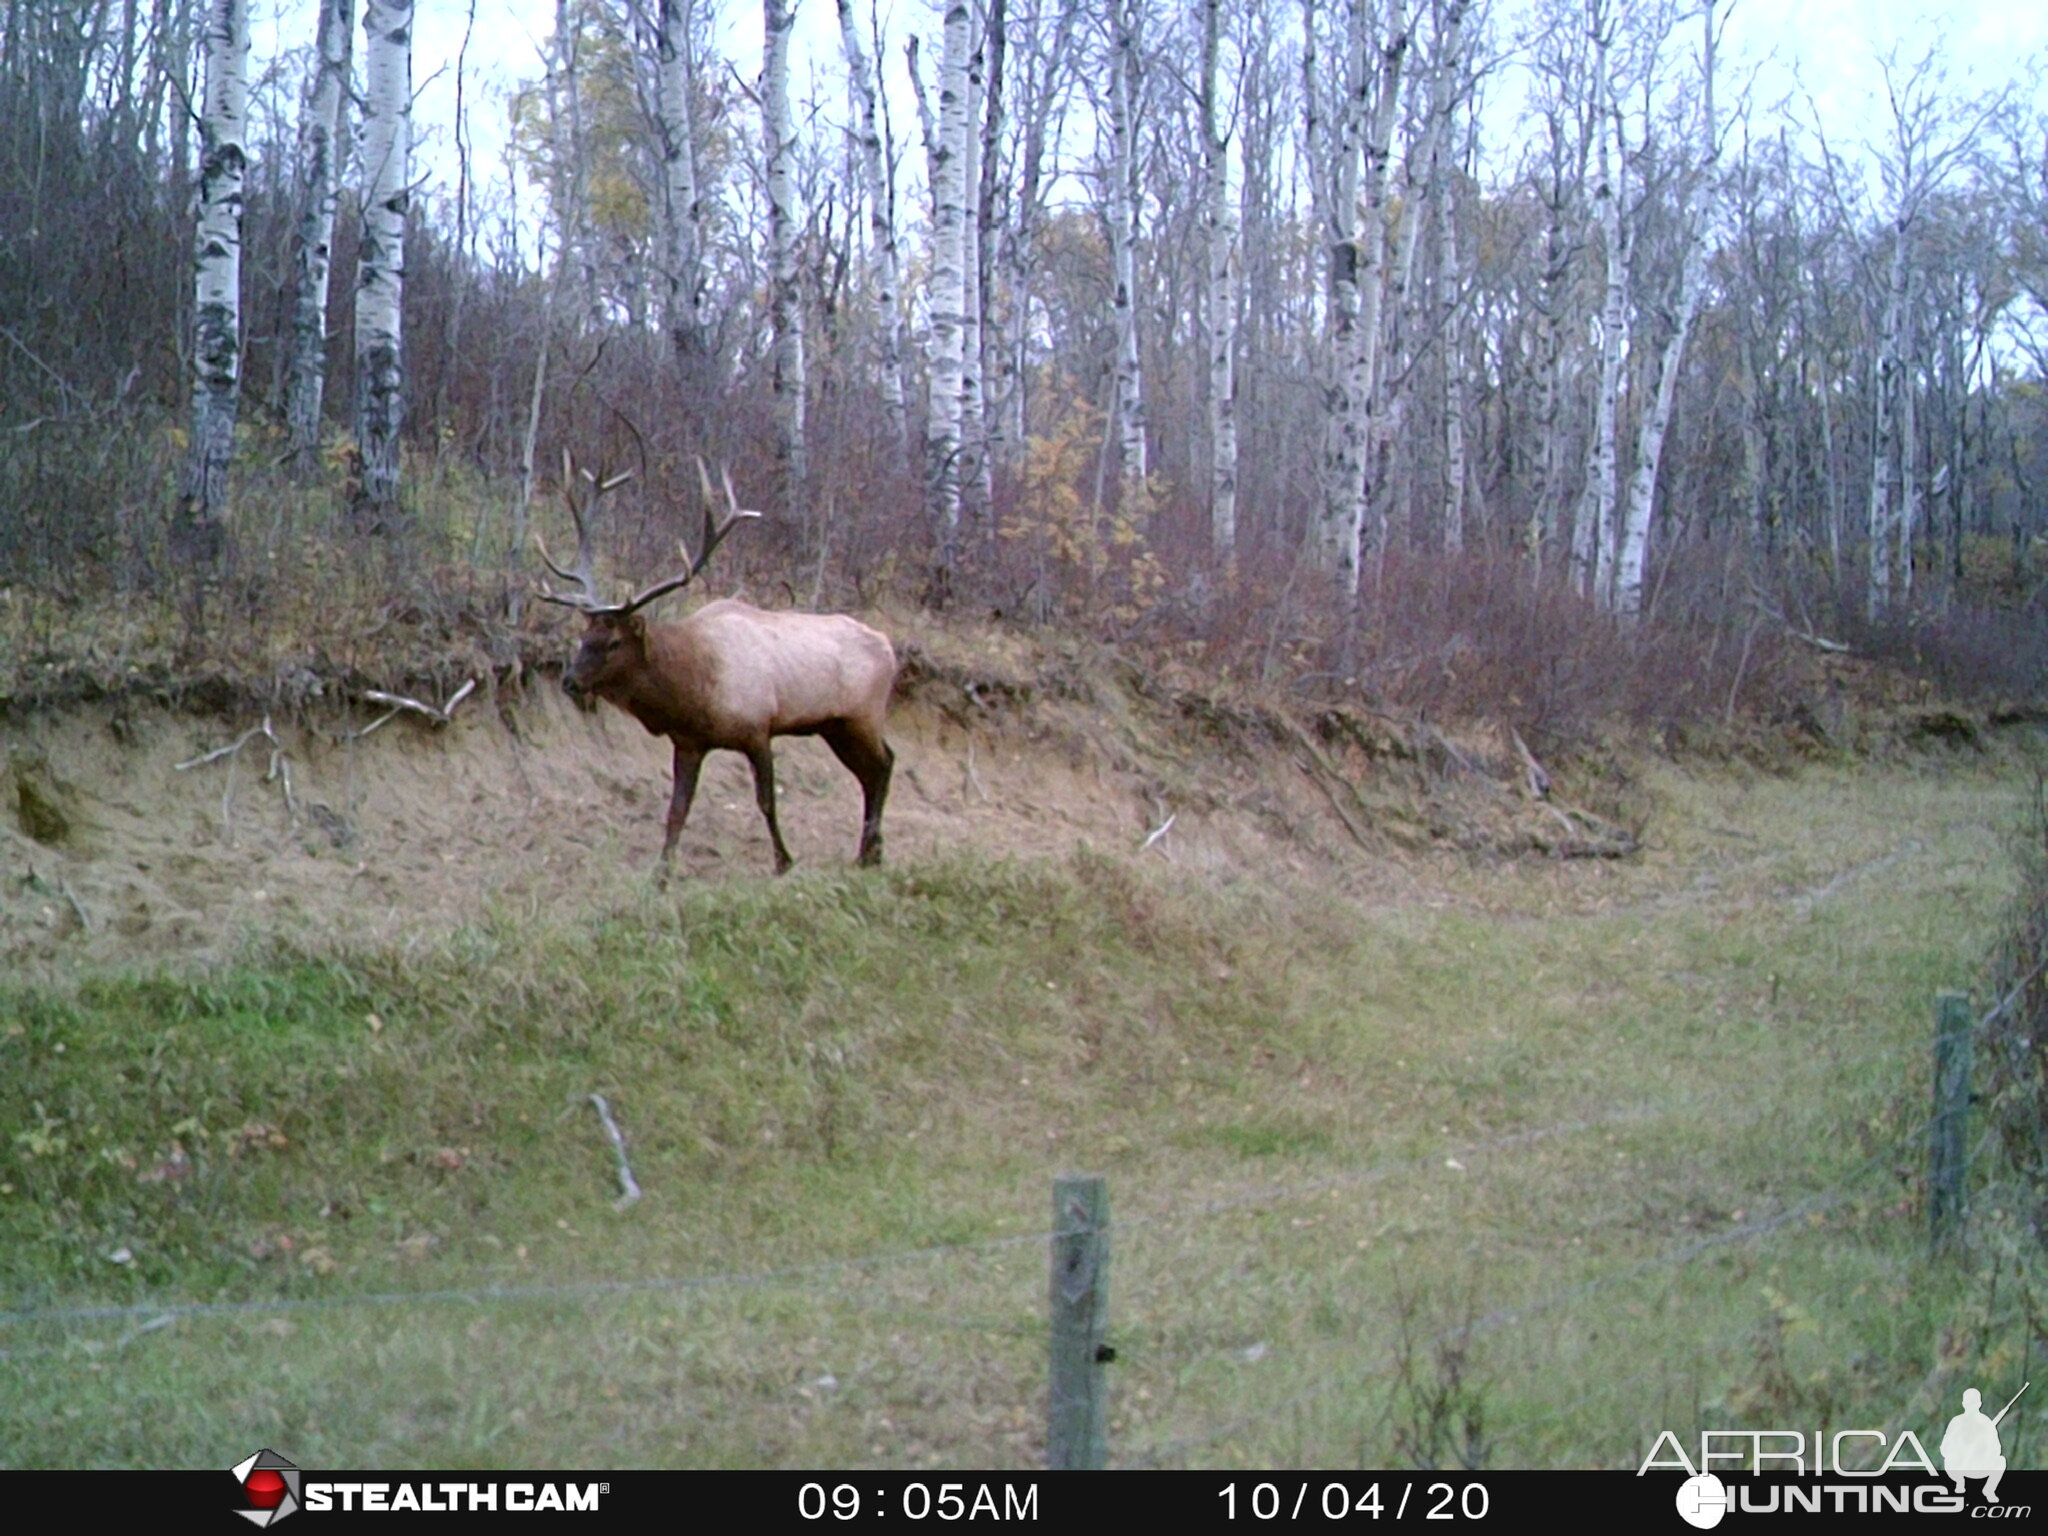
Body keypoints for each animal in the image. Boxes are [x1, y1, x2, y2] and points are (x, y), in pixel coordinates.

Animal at [536, 456, 897, 884]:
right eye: (583, 636)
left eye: (613, 643)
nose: (570, 681)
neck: (694, 690)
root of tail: (890, 648)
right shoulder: (688, 742)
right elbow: (677, 810)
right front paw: (660, 874)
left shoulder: (759, 728)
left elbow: (766, 801)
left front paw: (783, 861)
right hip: (835, 726)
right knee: (871, 772)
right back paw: (869, 853)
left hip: (863, 715)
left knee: (884, 765)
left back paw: (871, 853)